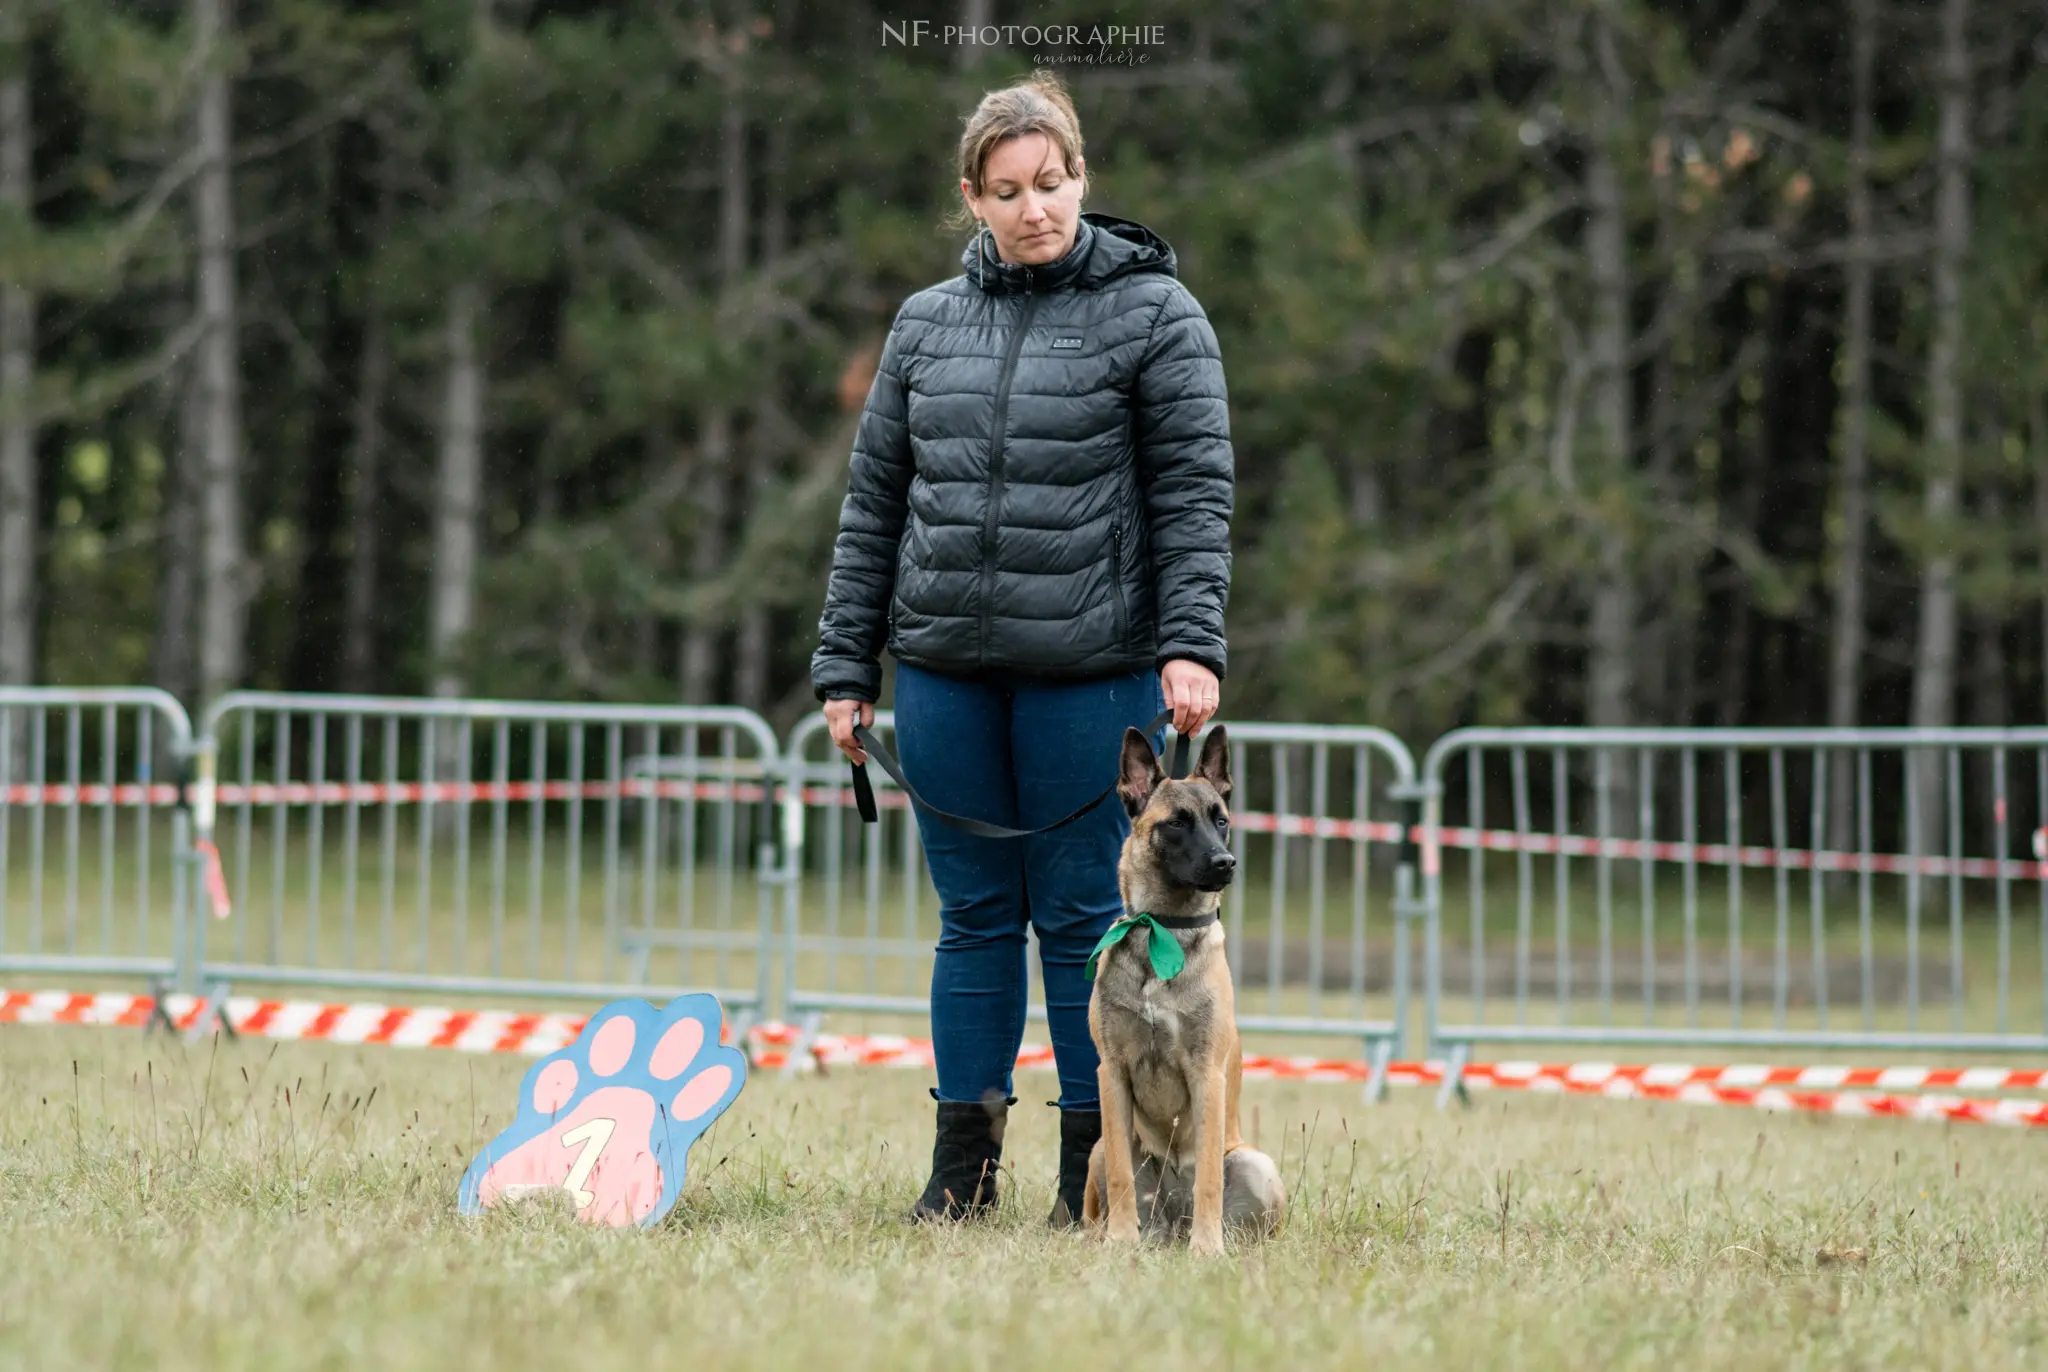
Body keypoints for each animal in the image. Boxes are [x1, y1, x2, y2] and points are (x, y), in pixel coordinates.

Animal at [1081, 724, 1286, 1261]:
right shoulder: (1112, 1072)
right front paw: (1121, 1240)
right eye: (1176, 823)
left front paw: (1207, 1248)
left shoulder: (1205, 1073)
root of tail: (1172, 1225)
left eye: (1222, 820)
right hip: (1098, 1150)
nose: (1225, 862)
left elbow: (1209, 1177)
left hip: (1257, 1163)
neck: (1164, 929)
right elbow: (1121, 1174)